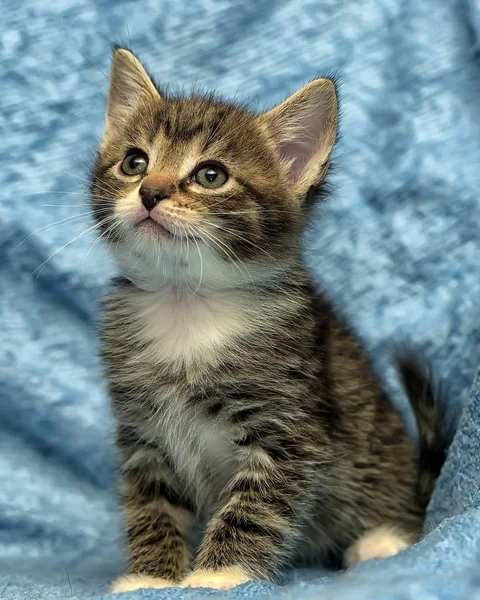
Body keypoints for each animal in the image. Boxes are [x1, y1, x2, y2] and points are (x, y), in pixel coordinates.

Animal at [91, 49, 446, 592]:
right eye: (135, 163)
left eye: (210, 175)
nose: (149, 192)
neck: (186, 304)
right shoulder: (142, 432)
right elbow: (151, 505)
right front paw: (151, 578)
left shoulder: (289, 429)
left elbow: (255, 507)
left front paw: (219, 573)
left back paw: (382, 539)